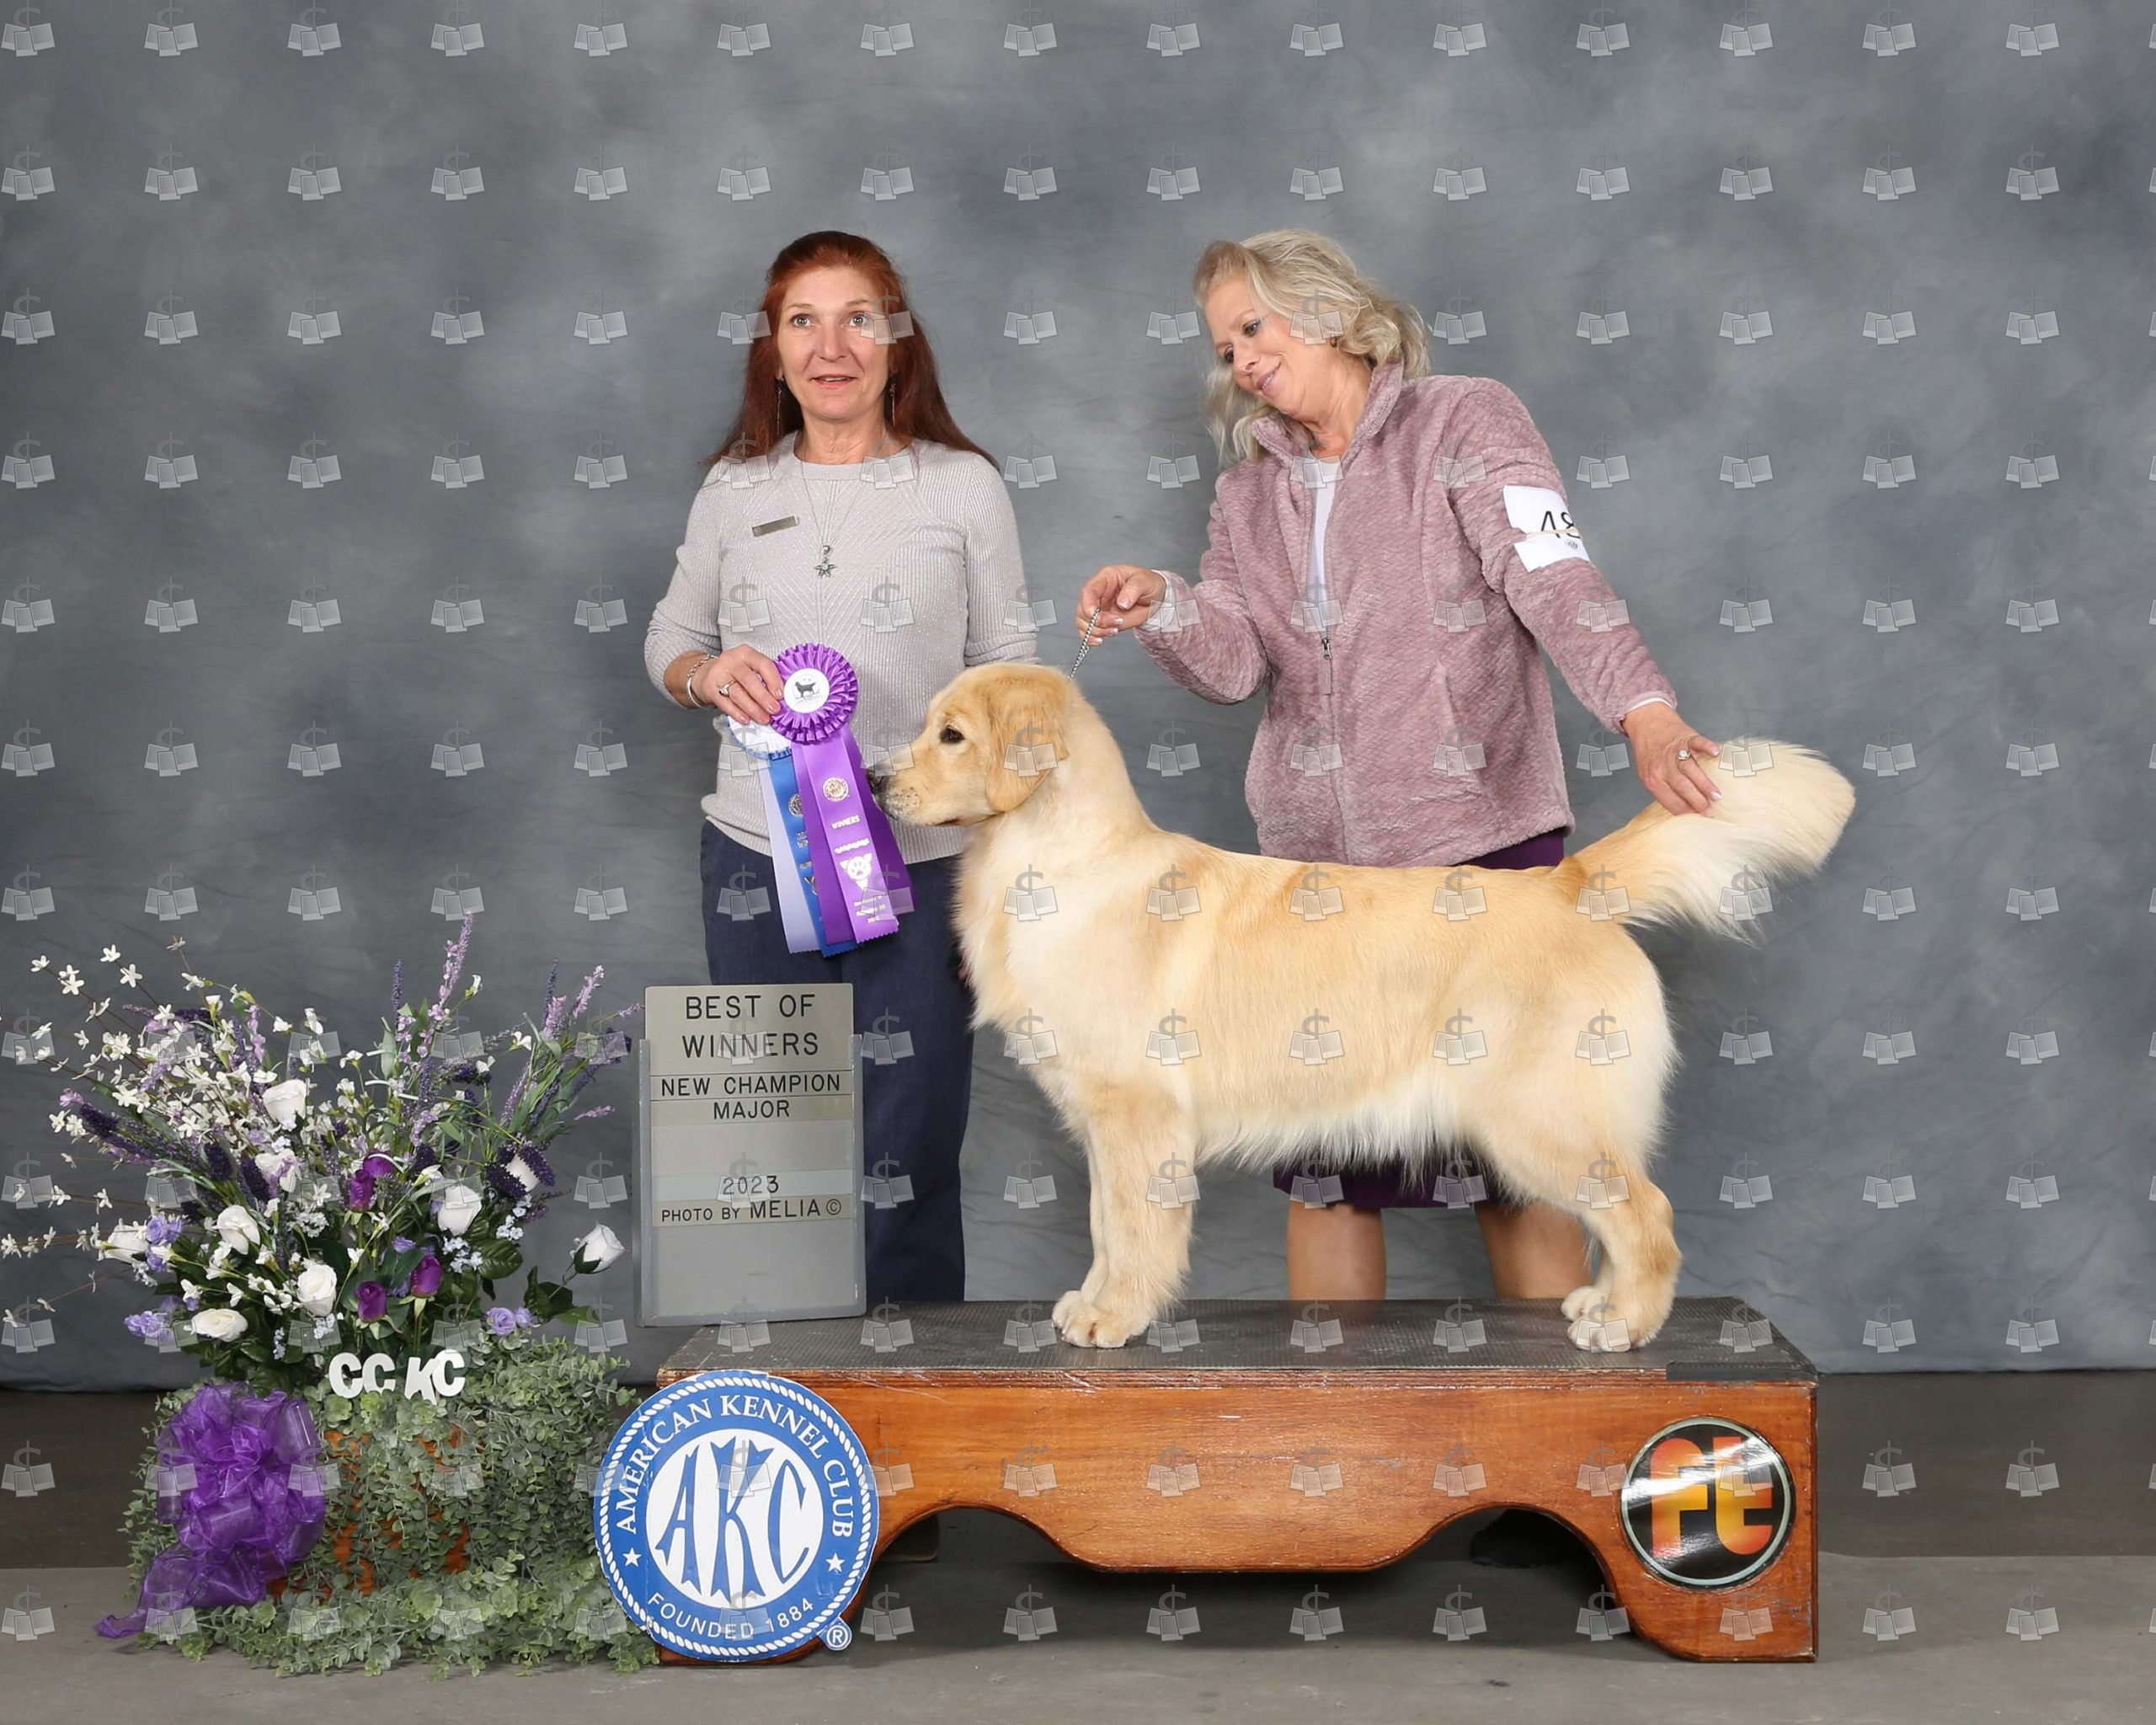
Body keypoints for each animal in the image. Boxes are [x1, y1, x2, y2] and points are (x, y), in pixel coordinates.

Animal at [871, 663, 1855, 1352]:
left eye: (951, 734)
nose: (875, 780)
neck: (1055, 860)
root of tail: (1572, 883)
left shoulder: (1134, 1113)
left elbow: (1132, 1227)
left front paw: (1115, 1315)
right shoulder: (1104, 1120)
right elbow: (1104, 1225)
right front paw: (1092, 1298)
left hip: (1537, 1117)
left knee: (1646, 1215)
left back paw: (1624, 1323)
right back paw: (1600, 1300)